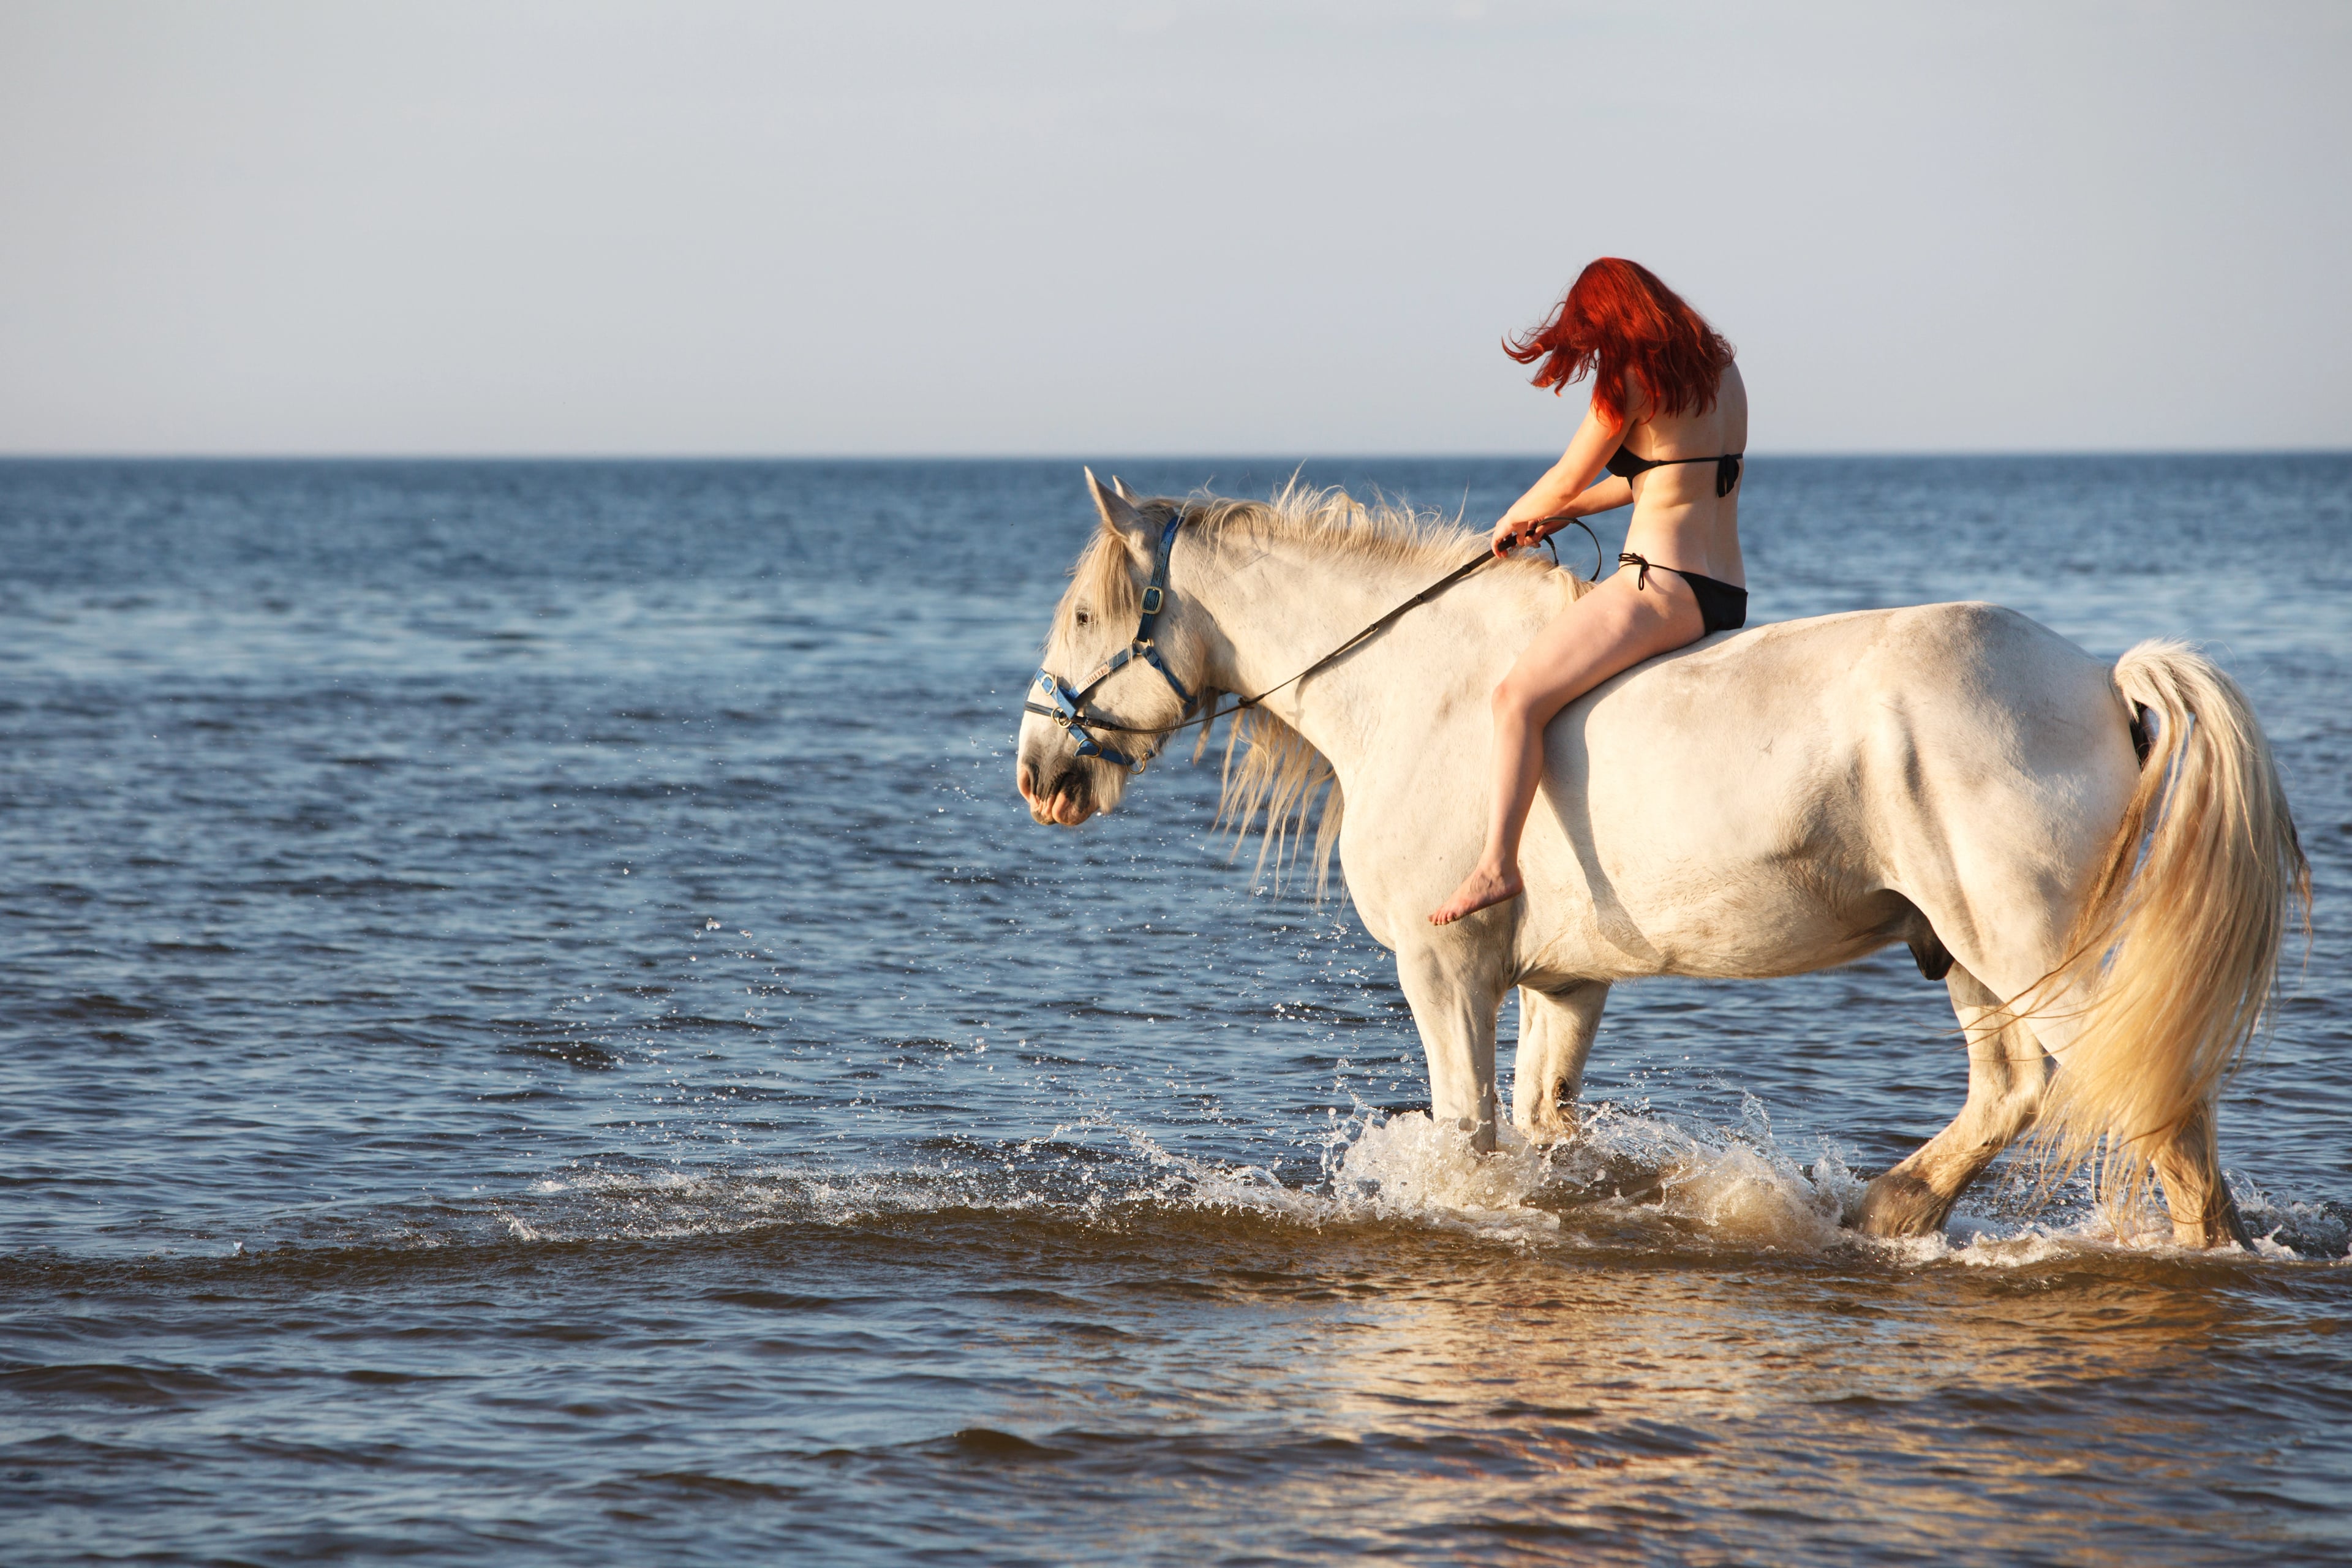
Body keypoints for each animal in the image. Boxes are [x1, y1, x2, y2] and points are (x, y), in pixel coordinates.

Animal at [1014, 473, 2309, 1249]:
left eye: (1082, 616)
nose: (1038, 773)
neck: (1416, 689)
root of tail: (2095, 679)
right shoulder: (1564, 982)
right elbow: (1542, 1132)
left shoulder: (1446, 973)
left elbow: (1468, 1136)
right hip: (1974, 956)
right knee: (2012, 1089)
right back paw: (1887, 1209)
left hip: (2031, 948)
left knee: (2156, 1118)